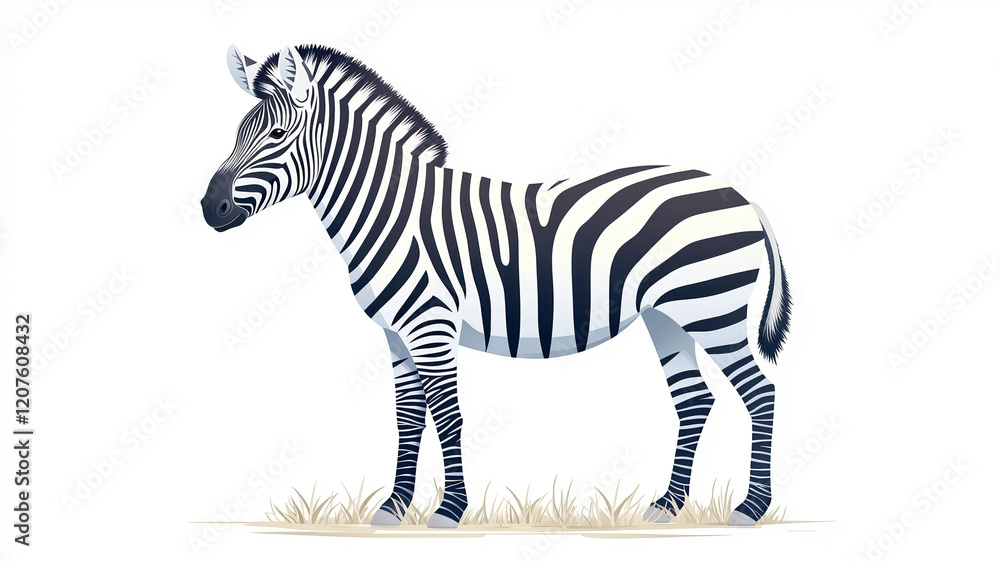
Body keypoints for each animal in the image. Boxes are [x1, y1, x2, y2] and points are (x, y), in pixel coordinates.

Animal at [201, 44, 792, 529]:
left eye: (277, 136)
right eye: (236, 133)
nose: (210, 208)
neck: (390, 212)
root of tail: (739, 194)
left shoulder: (430, 326)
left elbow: (447, 414)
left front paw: (449, 510)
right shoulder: (395, 335)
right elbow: (408, 418)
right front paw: (394, 506)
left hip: (713, 309)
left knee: (760, 391)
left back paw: (751, 507)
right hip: (668, 316)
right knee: (694, 400)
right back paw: (667, 505)